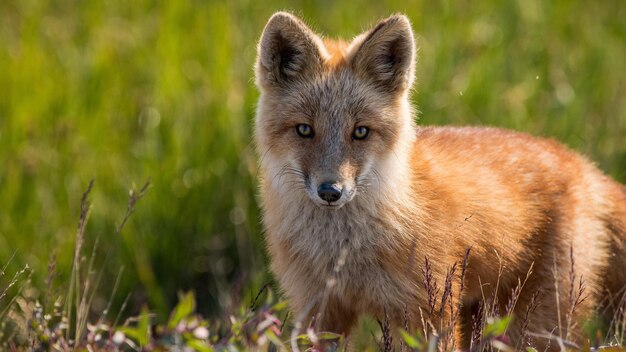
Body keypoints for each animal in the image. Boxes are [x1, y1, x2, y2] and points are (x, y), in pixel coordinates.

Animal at [251, 11, 620, 350]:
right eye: (304, 130)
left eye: (360, 132)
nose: (331, 191)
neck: (344, 254)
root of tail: (581, 163)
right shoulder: (318, 311)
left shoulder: (428, 313)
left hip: (536, 325)